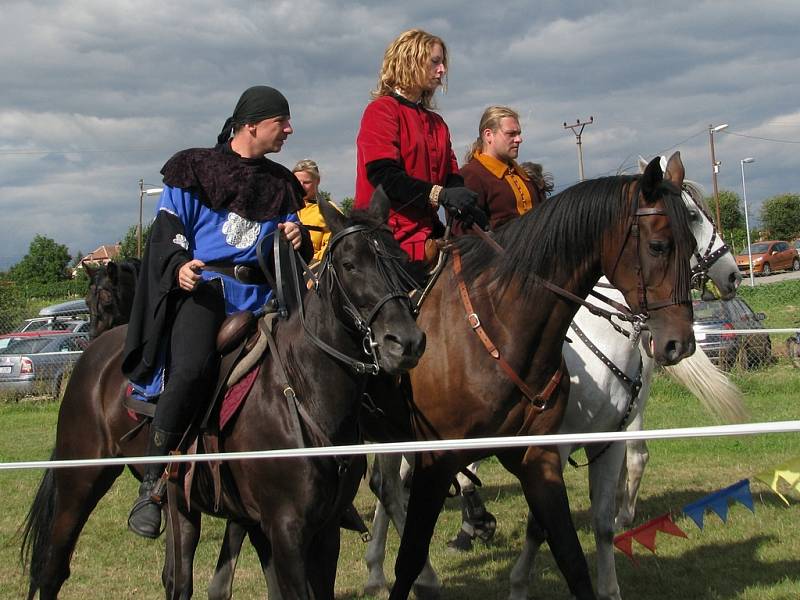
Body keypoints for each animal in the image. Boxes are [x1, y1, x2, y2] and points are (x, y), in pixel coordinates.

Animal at [21, 192, 428, 600]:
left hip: (179, 500)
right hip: (79, 481)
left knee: (176, 578)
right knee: (54, 567)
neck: (301, 390)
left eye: (401, 259)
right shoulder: (285, 529)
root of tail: (95, 354)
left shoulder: (322, 530)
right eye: (349, 264)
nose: (406, 342)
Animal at [362, 175, 744, 600]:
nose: (732, 274)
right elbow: (537, 523)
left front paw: (608, 583)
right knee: (389, 488)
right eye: (685, 223)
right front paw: (514, 578)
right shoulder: (551, 446)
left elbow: (597, 523)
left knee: (392, 487)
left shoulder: (601, 441)